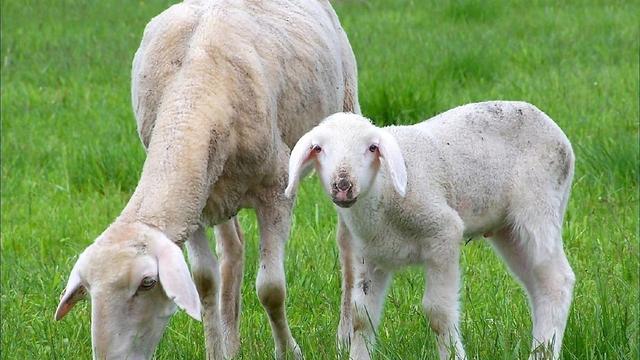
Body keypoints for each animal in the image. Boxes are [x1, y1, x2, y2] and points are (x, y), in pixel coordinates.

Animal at [55, 0, 360, 360]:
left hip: (345, 110)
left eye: (147, 283)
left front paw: (289, 352)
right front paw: (218, 350)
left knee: (346, 239)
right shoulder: (195, 208)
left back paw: (345, 334)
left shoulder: (276, 190)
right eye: (89, 291)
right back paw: (231, 340)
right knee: (232, 249)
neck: (192, 94)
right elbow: (204, 282)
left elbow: (271, 288)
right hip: (219, 191)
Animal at [284, 101, 576, 360]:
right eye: (318, 148)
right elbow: (360, 317)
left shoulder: (443, 232)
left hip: (538, 206)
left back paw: (542, 353)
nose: (343, 185)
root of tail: (556, 131)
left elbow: (438, 314)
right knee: (537, 285)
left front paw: (453, 355)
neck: (384, 192)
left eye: (372, 148)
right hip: (507, 229)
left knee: (556, 281)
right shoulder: (370, 256)